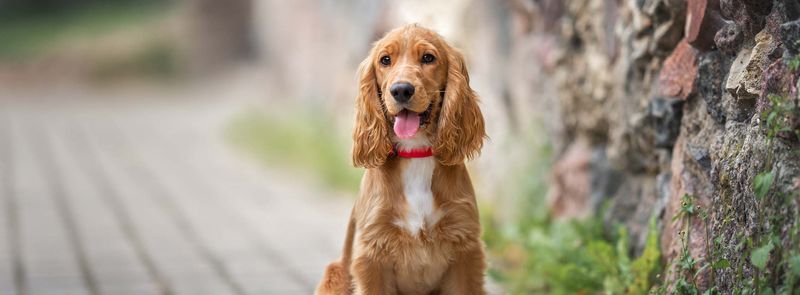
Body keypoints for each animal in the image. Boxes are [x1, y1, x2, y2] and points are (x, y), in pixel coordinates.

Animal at [316, 24, 484, 295]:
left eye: (428, 58)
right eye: (385, 60)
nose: (401, 90)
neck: (416, 152)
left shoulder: (465, 249)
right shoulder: (372, 254)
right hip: (335, 273)